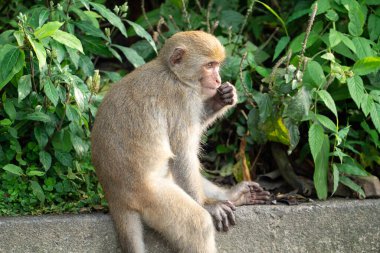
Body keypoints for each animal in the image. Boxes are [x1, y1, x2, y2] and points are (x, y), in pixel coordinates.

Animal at [91, 30, 270, 253]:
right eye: (209, 65)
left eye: (217, 65)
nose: (218, 79)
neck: (174, 75)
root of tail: (114, 196)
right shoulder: (182, 100)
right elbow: (182, 153)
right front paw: (207, 205)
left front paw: (220, 100)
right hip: (150, 196)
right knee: (198, 224)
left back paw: (234, 195)